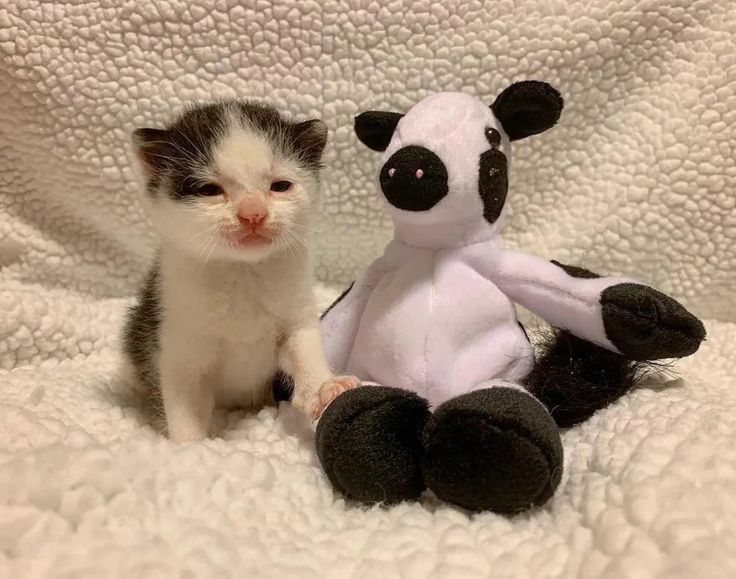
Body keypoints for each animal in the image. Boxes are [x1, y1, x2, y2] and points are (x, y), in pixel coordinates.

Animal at [122, 101, 358, 444]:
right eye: (209, 190)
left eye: (280, 186)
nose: (253, 214)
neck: (242, 270)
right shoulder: (179, 341)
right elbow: (184, 404)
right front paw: (188, 448)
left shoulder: (296, 311)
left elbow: (303, 348)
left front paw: (323, 386)